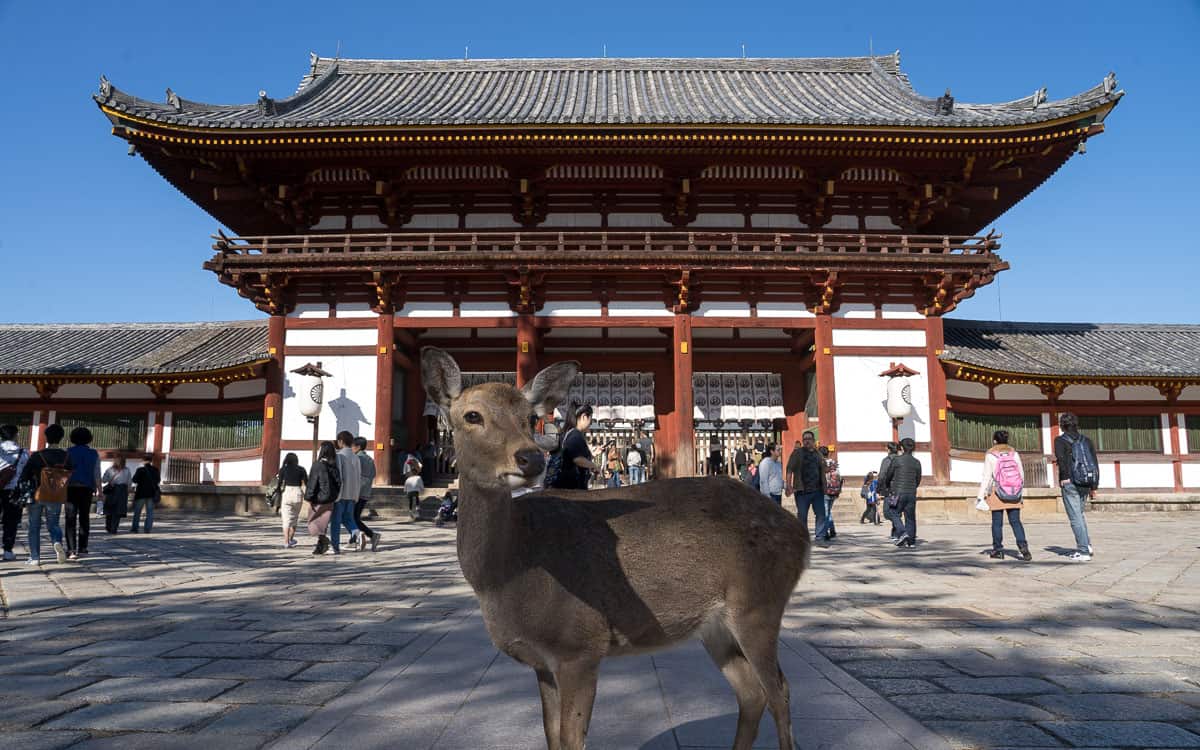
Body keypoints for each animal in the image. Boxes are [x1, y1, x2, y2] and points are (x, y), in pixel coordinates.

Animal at [420, 348, 806, 748]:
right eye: (472, 415)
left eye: (530, 417)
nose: (531, 458)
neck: (507, 574)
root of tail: (799, 533)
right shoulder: (542, 662)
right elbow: (551, 735)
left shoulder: (581, 645)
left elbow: (571, 739)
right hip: (717, 628)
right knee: (751, 692)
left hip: (758, 605)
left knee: (780, 690)